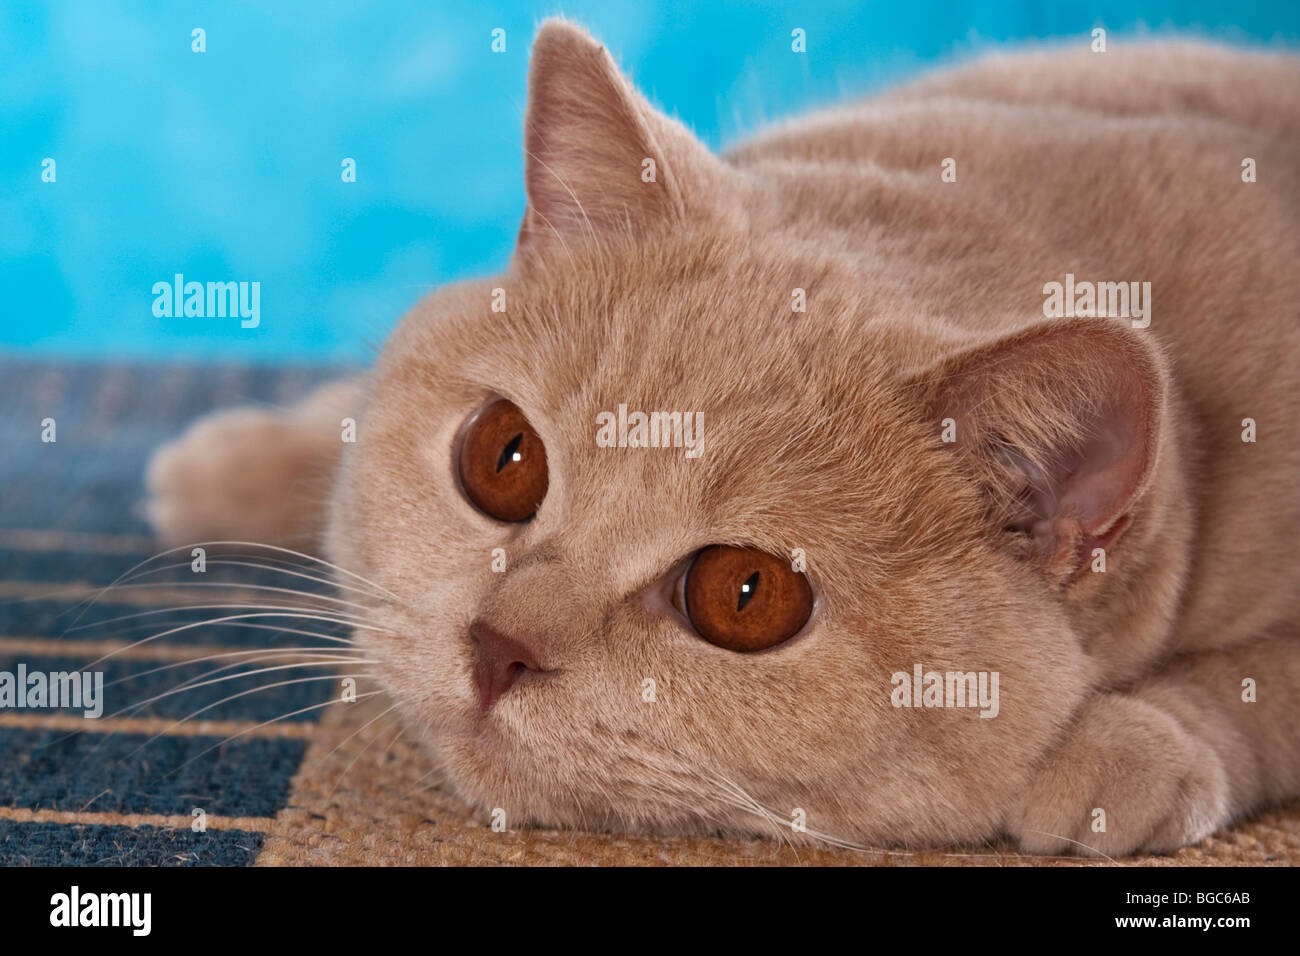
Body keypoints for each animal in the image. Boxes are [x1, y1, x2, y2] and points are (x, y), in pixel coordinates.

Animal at [144, 20, 1300, 858]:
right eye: (503, 458)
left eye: (745, 595)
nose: (497, 644)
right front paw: (250, 462)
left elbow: (1262, 683)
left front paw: (1129, 747)